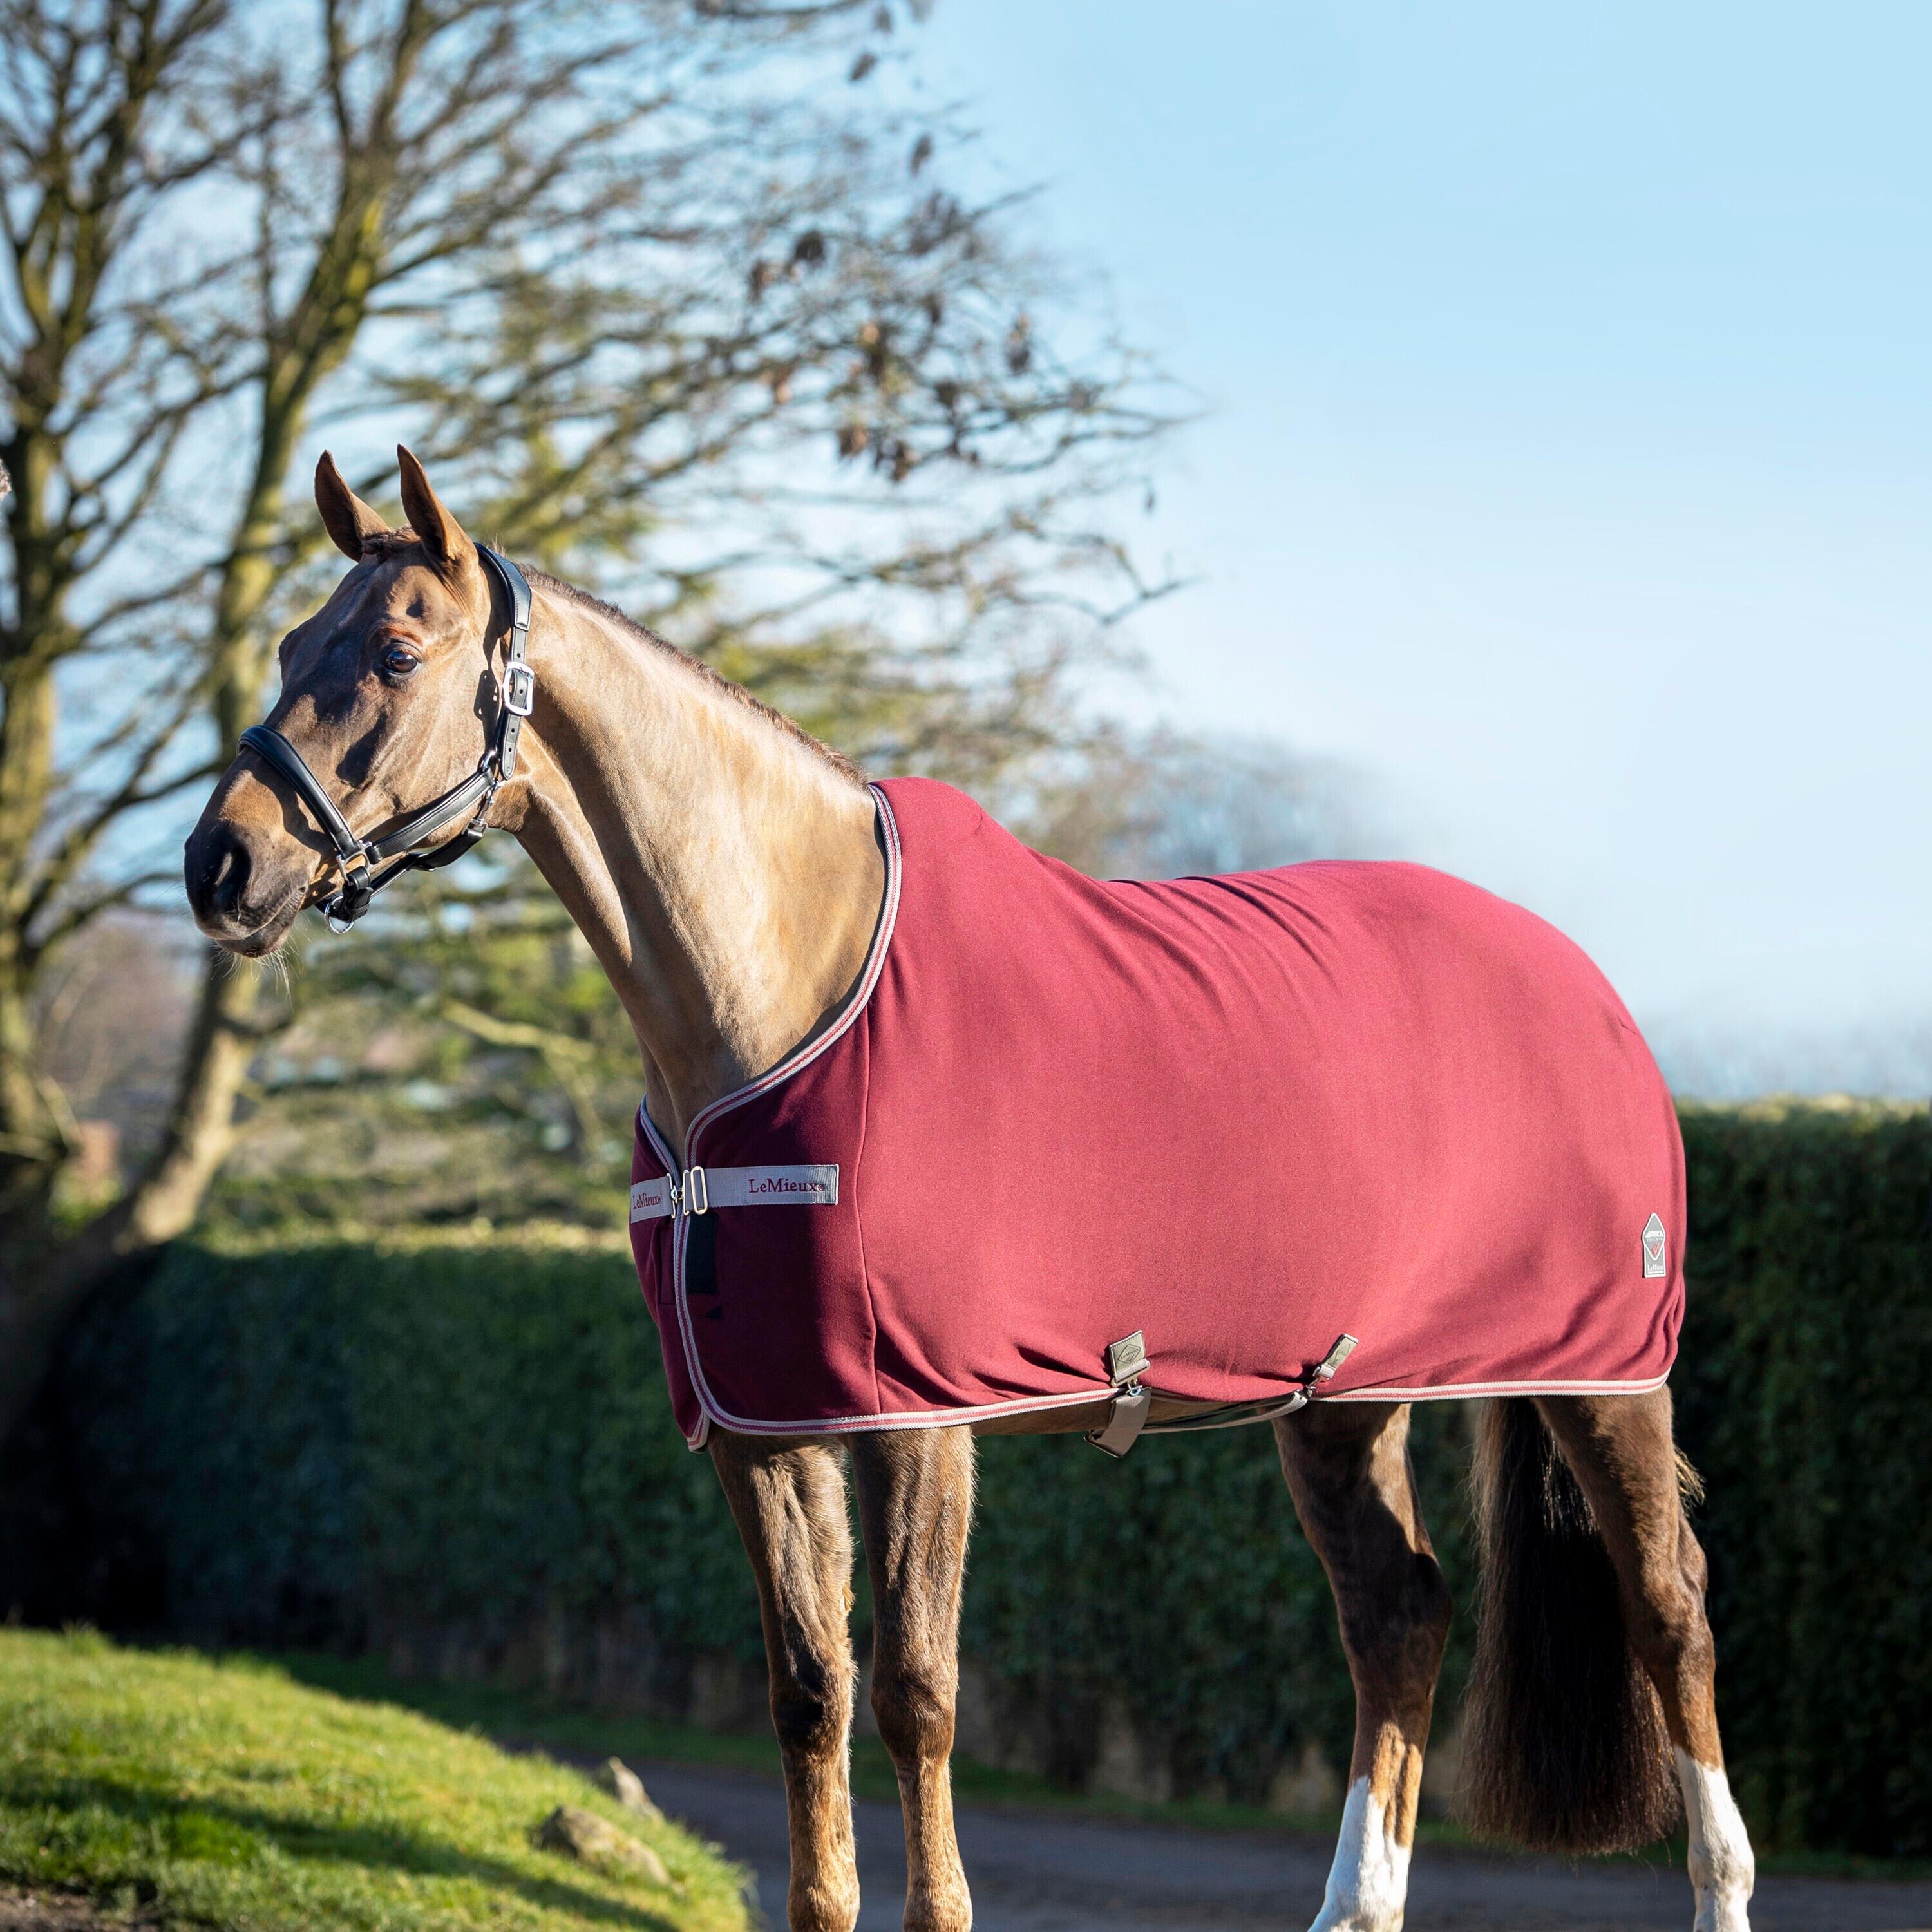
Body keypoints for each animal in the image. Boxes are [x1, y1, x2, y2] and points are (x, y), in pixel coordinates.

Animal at [184, 448, 1755, 1932]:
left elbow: (916, 1693)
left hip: (1602, 1376)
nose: (223, 862)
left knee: (1671, 1610)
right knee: (1400, 1618)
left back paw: (1717, 1884)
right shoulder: (763, 1431)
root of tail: (1585, 986)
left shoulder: (921, 1421)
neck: (788, 987)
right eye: (290, 642)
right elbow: (809, 1694)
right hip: (1341, 1396)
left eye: (397, 652)